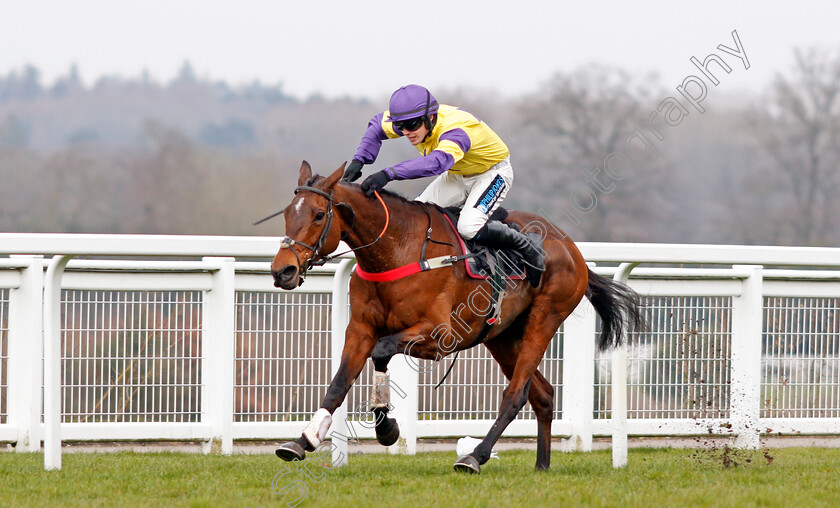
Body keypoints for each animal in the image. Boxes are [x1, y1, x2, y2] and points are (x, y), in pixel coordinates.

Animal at [270, 162, 644, 472]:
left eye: (319, 215)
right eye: (288, 213)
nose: (282, 271)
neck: (396, 249)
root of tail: (569, 245)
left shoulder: (439, 337)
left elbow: (382, 350)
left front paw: (387, 427)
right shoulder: (360, 328)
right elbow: (338, 383)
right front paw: (304, 439)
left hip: (545, 318)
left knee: (516, 394)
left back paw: (474, 456)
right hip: (502, 337)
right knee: (543, 394)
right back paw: (541, 465)